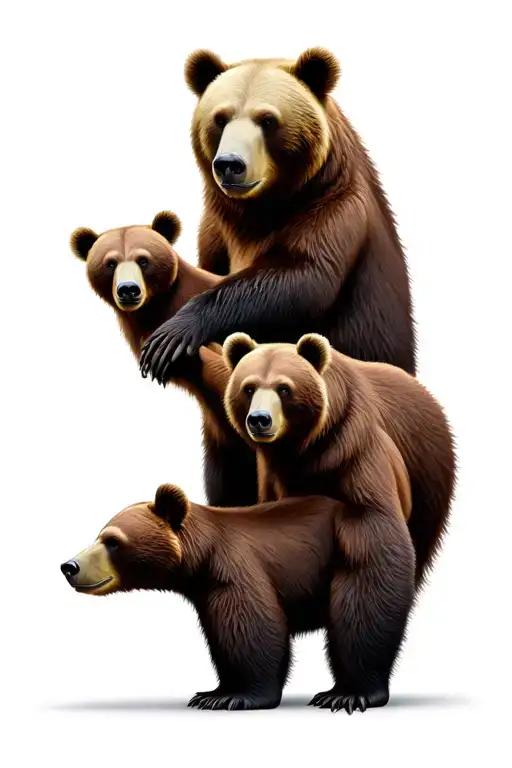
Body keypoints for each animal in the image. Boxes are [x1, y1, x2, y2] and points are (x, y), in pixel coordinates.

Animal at [61, 483, 415, 714]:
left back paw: (349, 694)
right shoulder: (206, 591)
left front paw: (234, 697)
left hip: (360, 555)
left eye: (113, 541)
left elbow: (251, 630)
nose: (69, 566)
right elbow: (224, 638)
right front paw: (214, 691)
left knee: (361, 619)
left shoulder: (234, 572)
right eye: (99, 536)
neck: (202, 558)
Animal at [139, 47, 417, 392]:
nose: (230, 164)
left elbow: (301, 277)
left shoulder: (335, 211)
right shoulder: (216, 231)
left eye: (268, 119)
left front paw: (172, 335)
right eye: (220, 118)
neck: (260, 210)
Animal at [222, 332, 456, 590]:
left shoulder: (354, 451)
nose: (259, 419)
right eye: (249, 388)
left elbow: (372, 522)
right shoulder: (274, 473)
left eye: (284, 388)